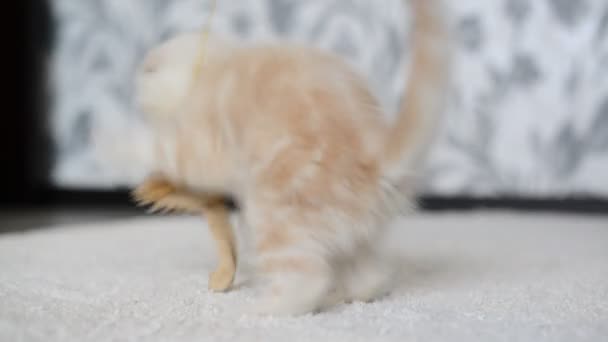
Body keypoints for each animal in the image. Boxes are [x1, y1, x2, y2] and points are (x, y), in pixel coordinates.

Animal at [134, 0, 446, 316]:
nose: (136, 92)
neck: (217, 62)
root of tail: (375, 155)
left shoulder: (205, 138)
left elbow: (169, 150)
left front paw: (126, 144)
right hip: (359, 232)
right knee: (368, 275)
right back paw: (348, 293)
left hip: (273, 213)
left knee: (306, 280)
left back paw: (268, 306)